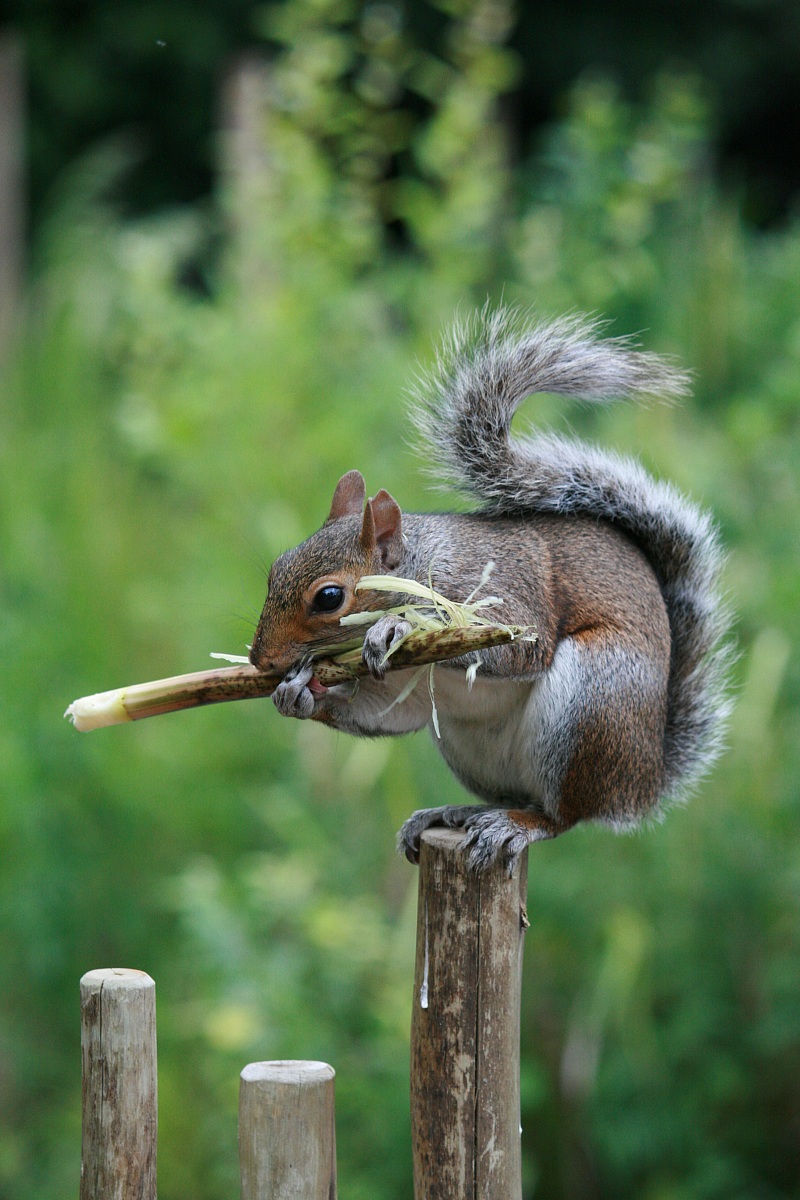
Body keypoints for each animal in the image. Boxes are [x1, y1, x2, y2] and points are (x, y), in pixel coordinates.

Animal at [249, 309, 731, 872]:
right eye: (277, 567)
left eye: (328, 597)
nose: (260, 661)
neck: (426, 564)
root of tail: (642, 784)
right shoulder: (406, 689)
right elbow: (391, 714)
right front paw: (298, 695)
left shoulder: (503, 590)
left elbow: (519, 647)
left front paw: (395, 627)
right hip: (472, 746)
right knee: (516, 795)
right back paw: (457, 813)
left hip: (592, 703)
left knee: (562, 815)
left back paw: (517, 825)